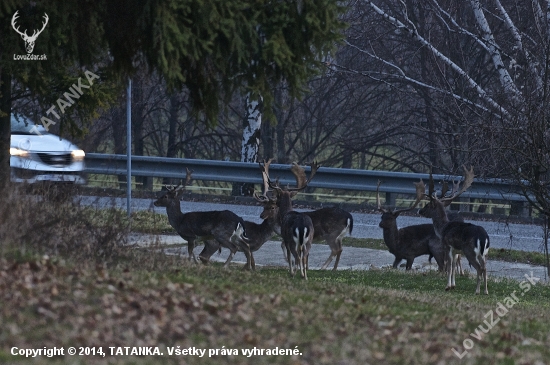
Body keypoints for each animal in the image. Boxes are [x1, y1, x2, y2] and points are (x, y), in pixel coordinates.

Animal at [420, 166, 494, 294]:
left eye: (428, 205)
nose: (419, 211)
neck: (443, 229)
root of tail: (483, 237)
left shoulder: (447, 246)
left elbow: (449, 266)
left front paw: (447, 286)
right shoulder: (456, 250)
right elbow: (454, 266)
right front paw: (453, 285)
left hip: (470, 251)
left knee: (479, 268)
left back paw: (477, 291)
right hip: (485, 253)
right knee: (485, 268)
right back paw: (485, 291)